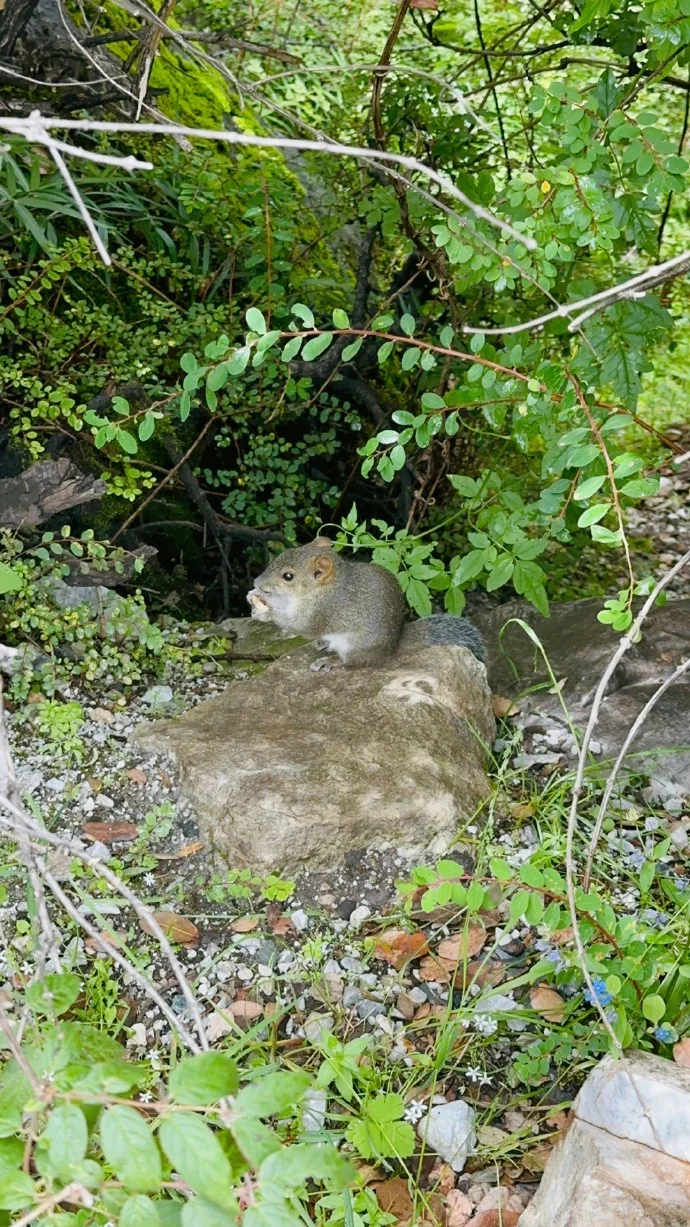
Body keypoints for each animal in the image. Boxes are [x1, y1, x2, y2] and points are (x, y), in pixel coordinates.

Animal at [246, 537, 483, 672]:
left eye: (288, 576)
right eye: (285, 553)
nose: (256, 582)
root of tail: (393, 646)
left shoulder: (323, 611)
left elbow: (301, 626)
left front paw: (265, 613)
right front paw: (257, 597)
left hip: (355, 646)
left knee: (352, 663)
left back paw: (330, 662)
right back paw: (323, 644)